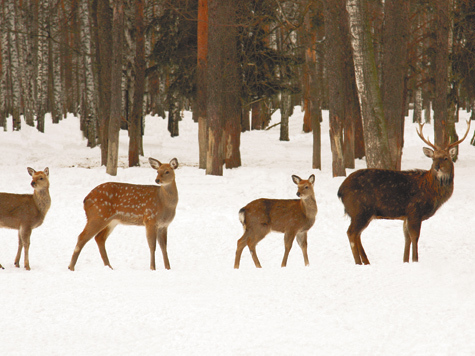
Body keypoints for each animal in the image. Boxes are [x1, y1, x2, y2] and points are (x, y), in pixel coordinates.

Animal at [340, 122, 470, 264]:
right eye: (433, 158)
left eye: (446, 158)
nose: (437, 167)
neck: (432, 191)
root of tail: (340, 190)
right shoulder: (415, 210)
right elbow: (415, 237)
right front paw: (415, 260)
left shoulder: (406, 215)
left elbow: (406, 237)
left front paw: (405, 260)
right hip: (360, 209)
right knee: (351, 233)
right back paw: (359, 263)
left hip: (362, 213)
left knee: (357, 234)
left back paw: (366, 262)